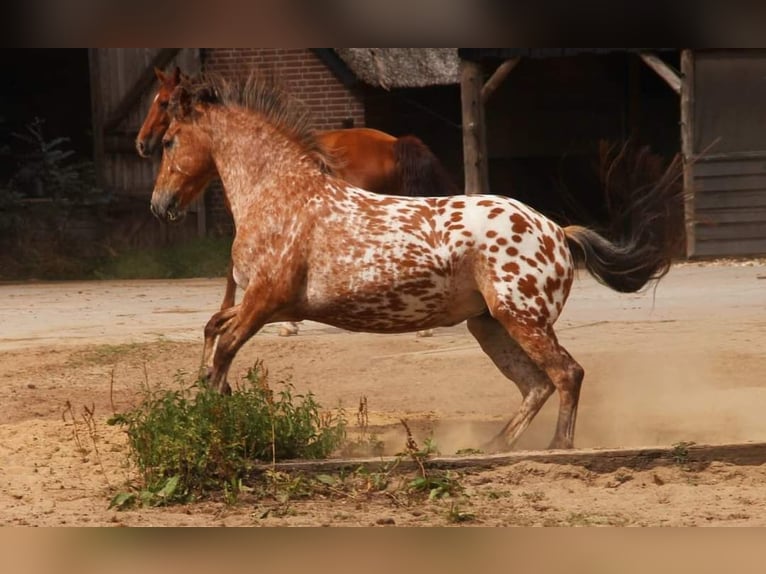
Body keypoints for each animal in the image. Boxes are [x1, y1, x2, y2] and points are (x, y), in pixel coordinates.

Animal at [150, 75, 684, 454]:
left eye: (170, 140)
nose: (160, 205)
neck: (280, 194)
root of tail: (558, 232)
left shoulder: (266, 301)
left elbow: (223, 348)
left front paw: (217, 422)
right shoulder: (266, 306)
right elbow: (213, 331)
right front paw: (210, 404)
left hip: (521, 318)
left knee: (566, 374)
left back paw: (558, 448)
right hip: (490, 325)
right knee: (536, 385)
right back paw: (490, 447)